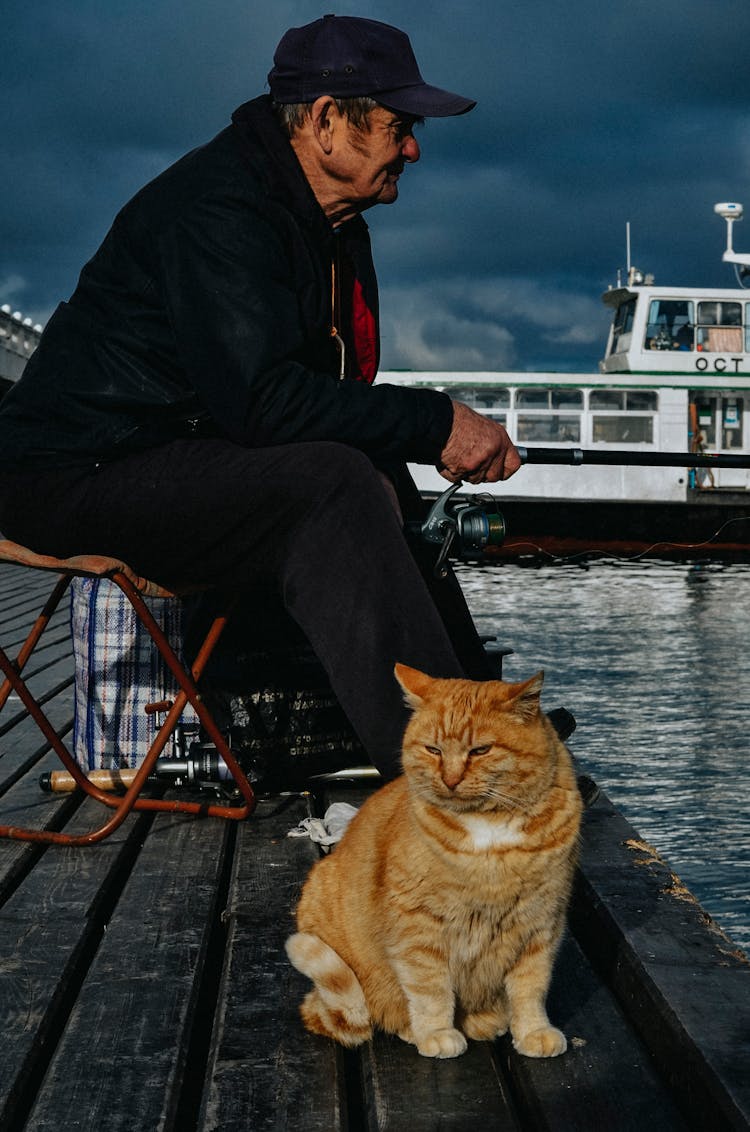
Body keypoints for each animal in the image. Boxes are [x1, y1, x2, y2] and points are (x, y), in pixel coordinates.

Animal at [285, 665, 583, 1055]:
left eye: (480, 750)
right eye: (433, 750)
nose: (451, 779)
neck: (489, 827)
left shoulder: (540, 923)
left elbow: (531, 987)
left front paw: (533, 1030)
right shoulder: (419, 925)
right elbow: (430, 989)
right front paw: (435, 1033)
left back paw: (483, 1021)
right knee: (383, 1010)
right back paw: (415, 1029)